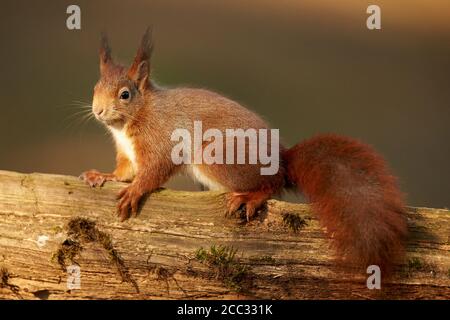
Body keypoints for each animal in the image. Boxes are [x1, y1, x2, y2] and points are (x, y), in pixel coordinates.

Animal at [80, 29, 408, 272]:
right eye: (95, 88)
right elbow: (124, 172)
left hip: (217, 157)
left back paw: (252, 196)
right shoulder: (127, 153)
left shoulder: (162, 138)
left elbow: (154, 170)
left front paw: (135, 191)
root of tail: (282, 160)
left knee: (274, 183)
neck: (128, 124)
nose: (97, 111)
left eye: (125, 94)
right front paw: (102, 176)